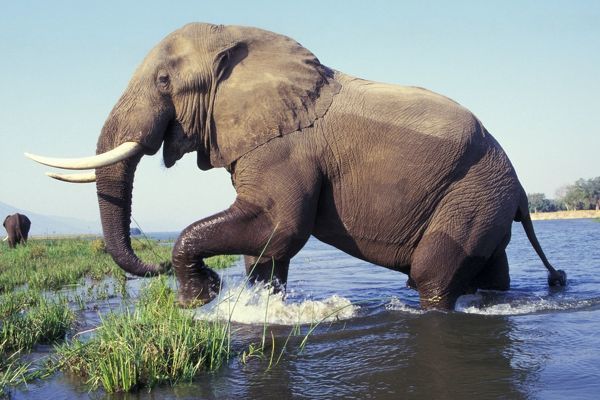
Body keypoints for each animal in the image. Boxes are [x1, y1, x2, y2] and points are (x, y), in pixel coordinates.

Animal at [25, 22, 564, 310]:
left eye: (162, 81)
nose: (151, 261)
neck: (238, 42)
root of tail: (520, 191)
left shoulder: (286, 150)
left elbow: (280, 227)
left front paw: (199, 298)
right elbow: (265, 246)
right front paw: (255, 304)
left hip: (473, 193)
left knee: (431, 275)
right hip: (485, 200)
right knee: (490, 274)